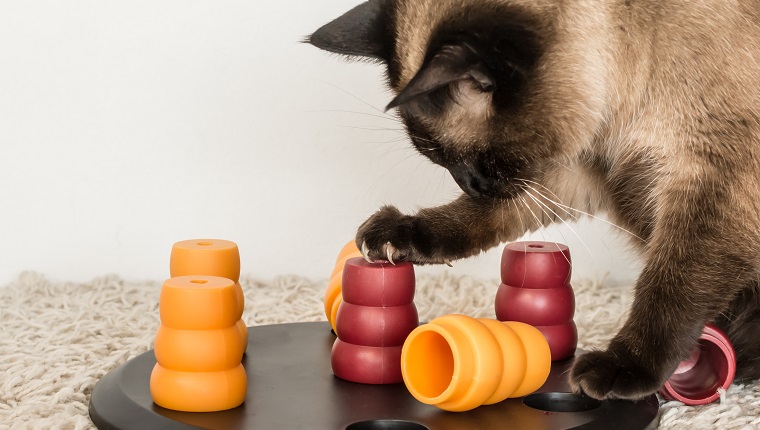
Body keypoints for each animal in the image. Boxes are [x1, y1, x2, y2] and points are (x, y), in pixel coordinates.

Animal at [308, 0, 760, 400]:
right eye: (440, 160)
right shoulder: (571, 169)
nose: (470, 184)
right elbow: (473, 219)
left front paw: (623, 367)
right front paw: (396, 234)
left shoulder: (715, 184)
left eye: (479, 159)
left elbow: (670, 287)